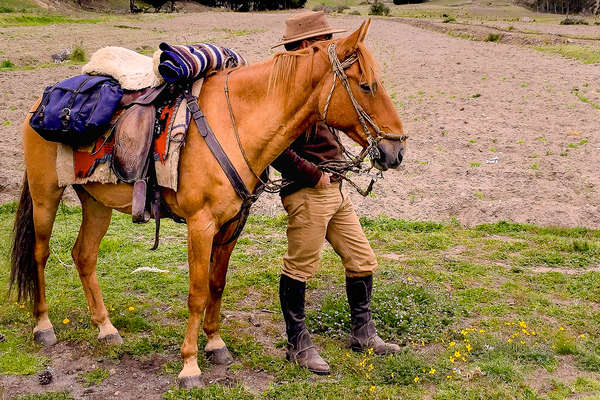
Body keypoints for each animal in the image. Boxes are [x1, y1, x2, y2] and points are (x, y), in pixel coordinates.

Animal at [9, 19, 408, 388]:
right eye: (367, 85)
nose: (397, 150)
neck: (235, 124)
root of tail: (40, 103)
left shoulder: (232, 224)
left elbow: (217, 284)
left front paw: (216, 345)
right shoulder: (200, 225)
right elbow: (197, 293)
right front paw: (189, 366)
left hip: (96, 202)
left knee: (84, 255)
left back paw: (106, 329)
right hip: (46, 196)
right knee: (41, 254)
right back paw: (43, 326)